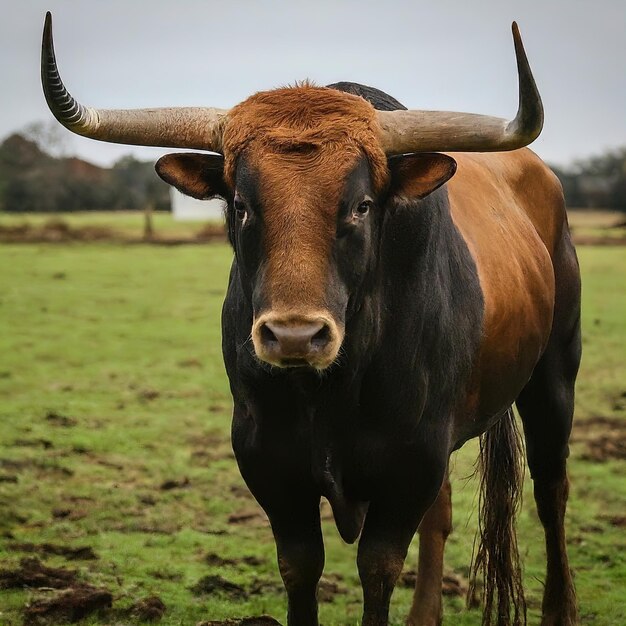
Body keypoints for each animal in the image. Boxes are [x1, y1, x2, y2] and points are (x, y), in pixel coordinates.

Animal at [42, 14, 580, 624]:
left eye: (362, 205)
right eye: (241, 204)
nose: (294, 335)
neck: (334, 387)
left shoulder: (410, 461)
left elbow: (378, 568)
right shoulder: (271, 465)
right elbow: (300, 566)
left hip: (554, 376)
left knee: (551, 490)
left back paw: (560, 607)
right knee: (443, 517)